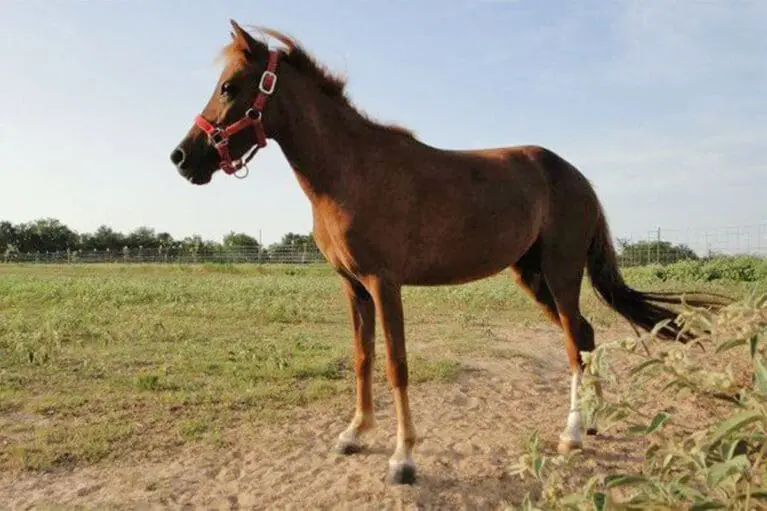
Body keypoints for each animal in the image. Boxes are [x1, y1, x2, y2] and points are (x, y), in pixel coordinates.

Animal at [169, 20, 727, 485]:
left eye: (229, 87)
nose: (182, 158)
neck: (351, 171)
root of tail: (576, 177)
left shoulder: (384, 284)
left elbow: (396, 364)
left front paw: (403, 458)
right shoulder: (353, 287)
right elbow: (363, 357)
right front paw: (355, 434)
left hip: (561, 273)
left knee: (575, 341)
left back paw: (571, 433)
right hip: (531, 275)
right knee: (586, 337)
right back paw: (591, 423)